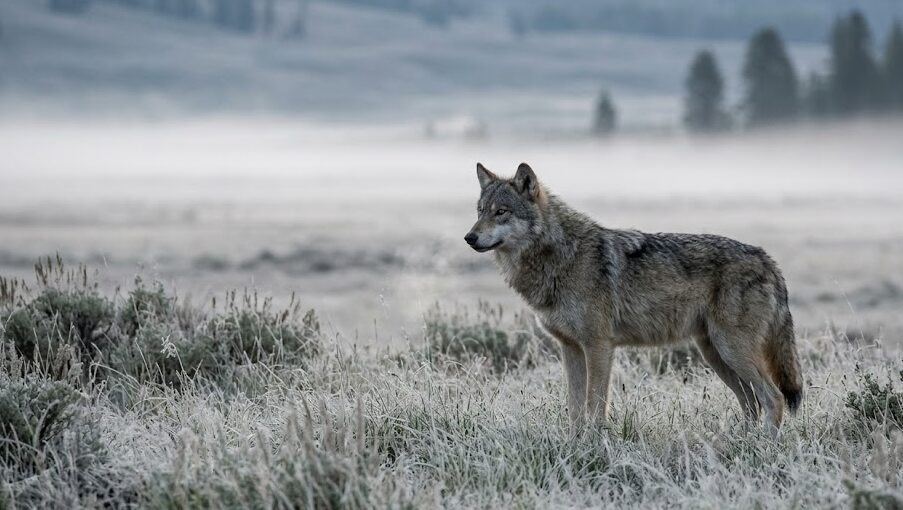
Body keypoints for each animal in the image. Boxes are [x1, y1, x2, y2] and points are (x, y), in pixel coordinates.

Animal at [464, 162, 803, 434]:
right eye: (479, 212)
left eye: (501, 212)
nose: (469, 237)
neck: (561, 256)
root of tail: (768, 260)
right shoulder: (570, 348)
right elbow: (575, 409)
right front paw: (573, 445)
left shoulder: (598, 346)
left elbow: (594, 405)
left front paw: (595, 444)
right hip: (715, 354)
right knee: (751, 403)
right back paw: (739, 443)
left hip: (732, 351)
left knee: (772, 398)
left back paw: (764, 446)